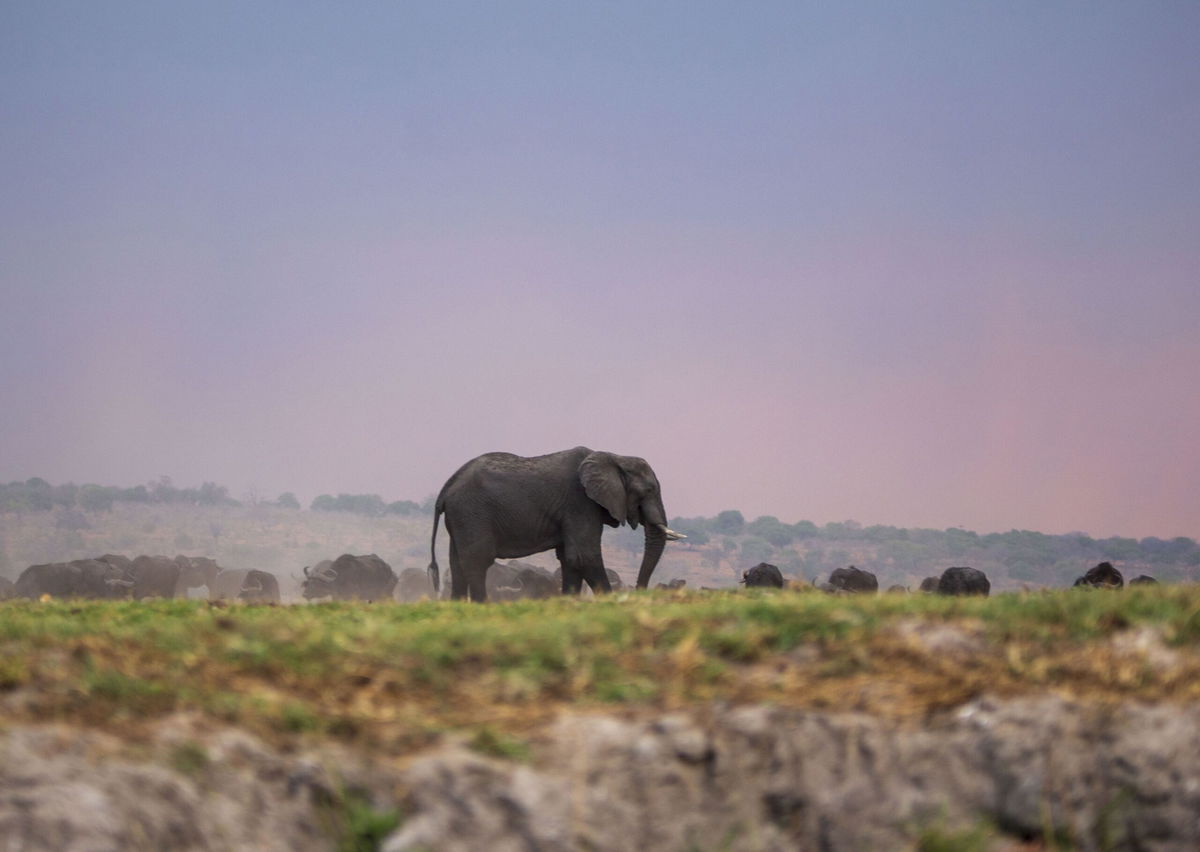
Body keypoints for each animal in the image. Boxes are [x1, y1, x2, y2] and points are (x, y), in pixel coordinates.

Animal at [429, 446, 686, 600]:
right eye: (649, 490)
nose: (640, 591)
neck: (613, 457)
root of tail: (446, 488)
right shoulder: (580, 503)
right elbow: (584, 556)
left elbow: (570, 559)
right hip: (472, 513)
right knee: (477, 562)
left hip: (461, 518)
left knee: (457, 564)